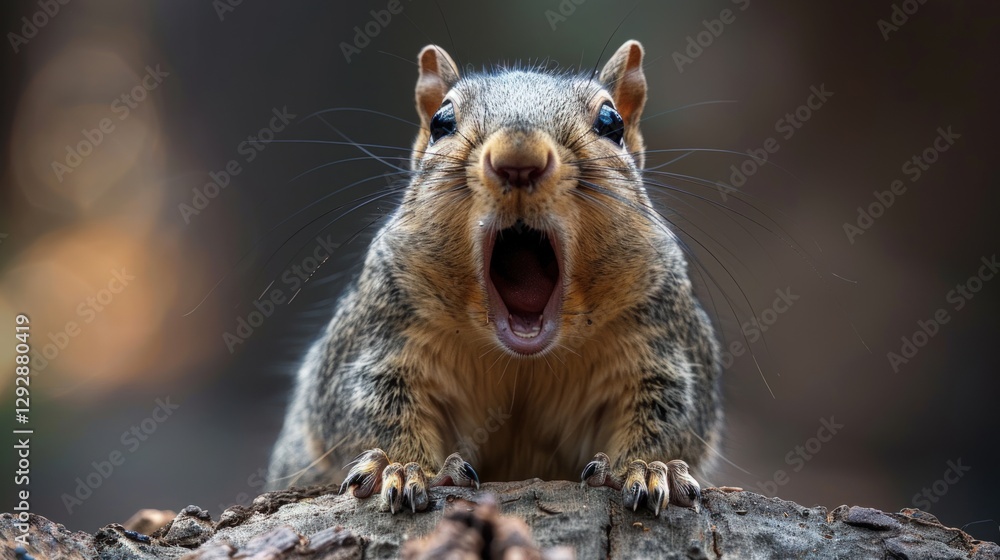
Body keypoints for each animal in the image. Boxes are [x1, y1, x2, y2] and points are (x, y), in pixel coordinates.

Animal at [267, 40, 722, 517]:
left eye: (610, 123)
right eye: (441, 122)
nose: (518, 159)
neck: (523, 362)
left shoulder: (661, 342)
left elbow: (672, 414)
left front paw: (649, 467)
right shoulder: (380, 335)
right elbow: (369, 407)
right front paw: (404, 466)